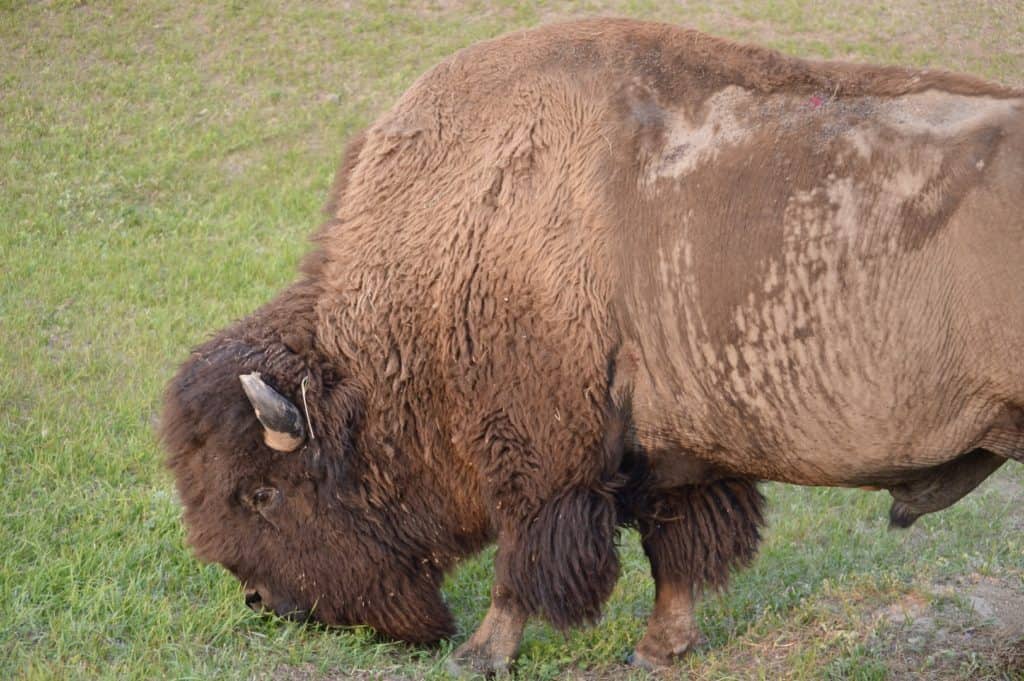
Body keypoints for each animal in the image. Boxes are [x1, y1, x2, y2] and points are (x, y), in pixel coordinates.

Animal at [161, 18, 1024, 671]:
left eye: (260, 492)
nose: (264, 601)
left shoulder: (538, 455)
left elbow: (523, 560)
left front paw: (481, 653)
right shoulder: (674, 452)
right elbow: (676, 546)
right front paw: (661, 647)